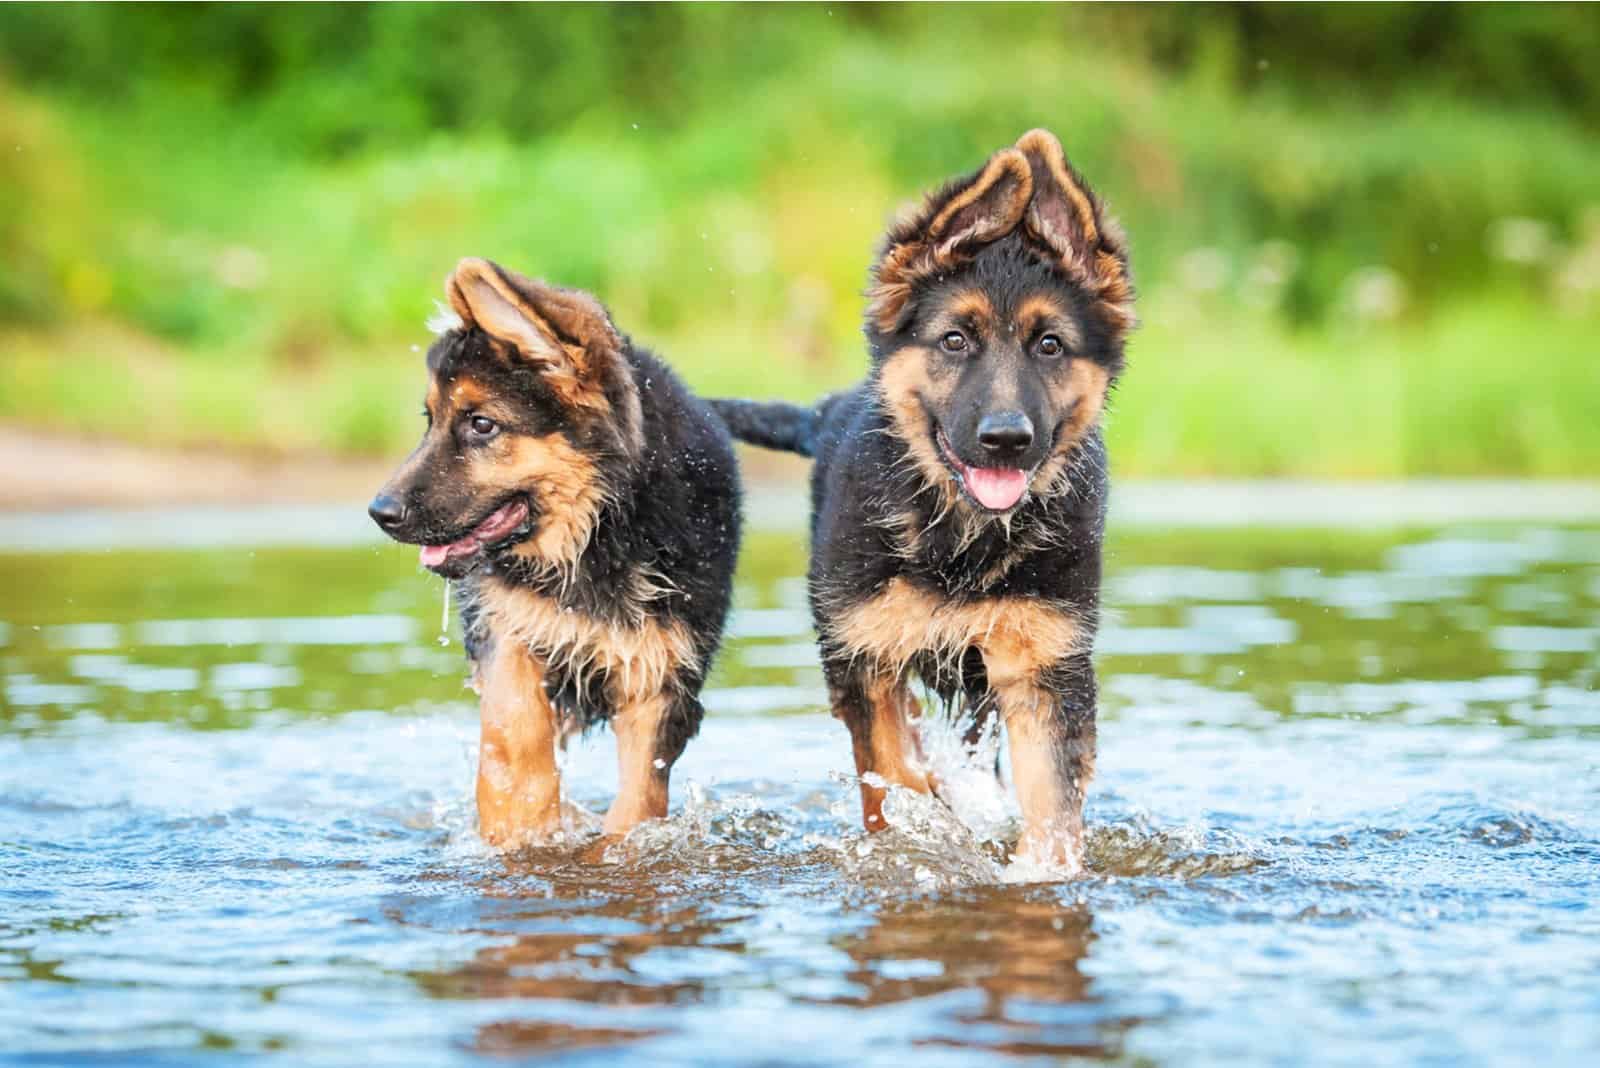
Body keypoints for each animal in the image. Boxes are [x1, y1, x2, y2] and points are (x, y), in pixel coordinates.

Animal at [372, 260, 742, 850]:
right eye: (429, 420)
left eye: (481, 424)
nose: (379, 511)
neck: (598, 535)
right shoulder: (506, 627)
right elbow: (516, 728)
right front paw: (523, 824)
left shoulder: (659, 675)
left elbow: (638, 801)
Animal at [713, 129, 1126, 869]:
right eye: (954, 340)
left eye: (1051, 345)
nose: (1006, 440)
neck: (961, 539)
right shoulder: (865, 655)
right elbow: (894, 773)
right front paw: (923, 831)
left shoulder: (1044, 663)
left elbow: (1051, 800)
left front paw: (1039, 872)